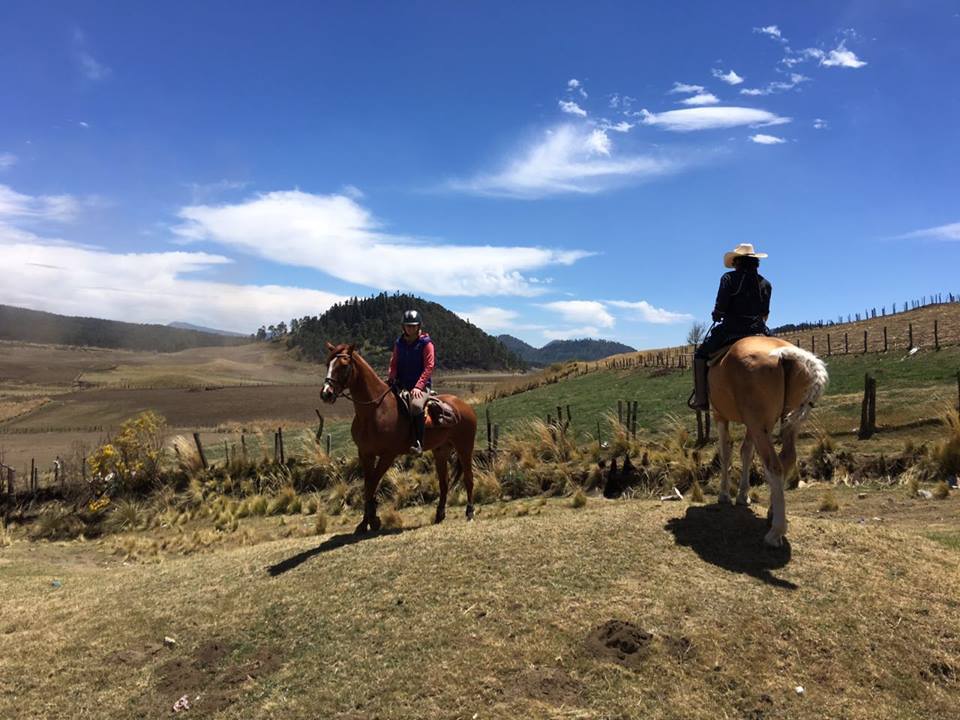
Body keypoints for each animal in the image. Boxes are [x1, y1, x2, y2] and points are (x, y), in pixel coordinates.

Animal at [316, 344, 478, 536]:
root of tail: (464, 406)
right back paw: (439, 515)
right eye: (327, 364)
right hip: (441, 451)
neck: (375, 410)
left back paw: (469, 512)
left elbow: (372, 484)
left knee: (468, 478)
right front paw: (366, 522)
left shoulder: (388, 455)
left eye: (344, 365)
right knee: (444, 483)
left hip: (464, 447)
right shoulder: (365, 453)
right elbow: (368, 485)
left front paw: (373, 520)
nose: (326, 393)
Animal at [708, 336, 828, 544]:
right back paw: (772, 514)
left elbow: (726, 452)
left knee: (774, 465)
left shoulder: (720, 416)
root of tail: (784, 353)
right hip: (784, 423)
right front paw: (742, 495)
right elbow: (746, 452)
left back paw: (775, 531)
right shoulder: (753, 425)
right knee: (787, 458)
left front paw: (724, 494)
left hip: (757, 424)